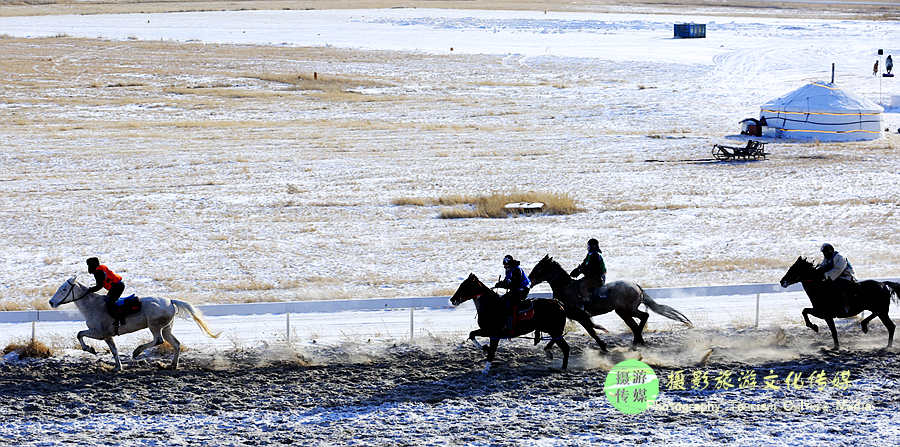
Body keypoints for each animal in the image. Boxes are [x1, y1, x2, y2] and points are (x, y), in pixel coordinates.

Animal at [50, 276, 221, 372]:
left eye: (64, 289)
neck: (94, 306)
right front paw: (118, 367)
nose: (51, 302)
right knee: (176, 344)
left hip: (155, 327)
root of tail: (171, 301)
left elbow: (80, 334)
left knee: (158, 340)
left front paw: (90, 349)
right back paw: (172, 365)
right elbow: (114, 350)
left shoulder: (100, 333)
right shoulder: (106, 336)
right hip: (167, 329)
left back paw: (137, 351)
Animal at [524, 256, 692, 346]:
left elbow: (591, 330)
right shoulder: (579, 318)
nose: (529, 280)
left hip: (626, 310)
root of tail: (636, 286)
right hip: (624, 312)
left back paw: (637, 338)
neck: (567, 287)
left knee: (644, 317)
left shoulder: (581, 316)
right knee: (638, 321)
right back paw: (637, 339)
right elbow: (591, 330)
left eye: (539, 268)